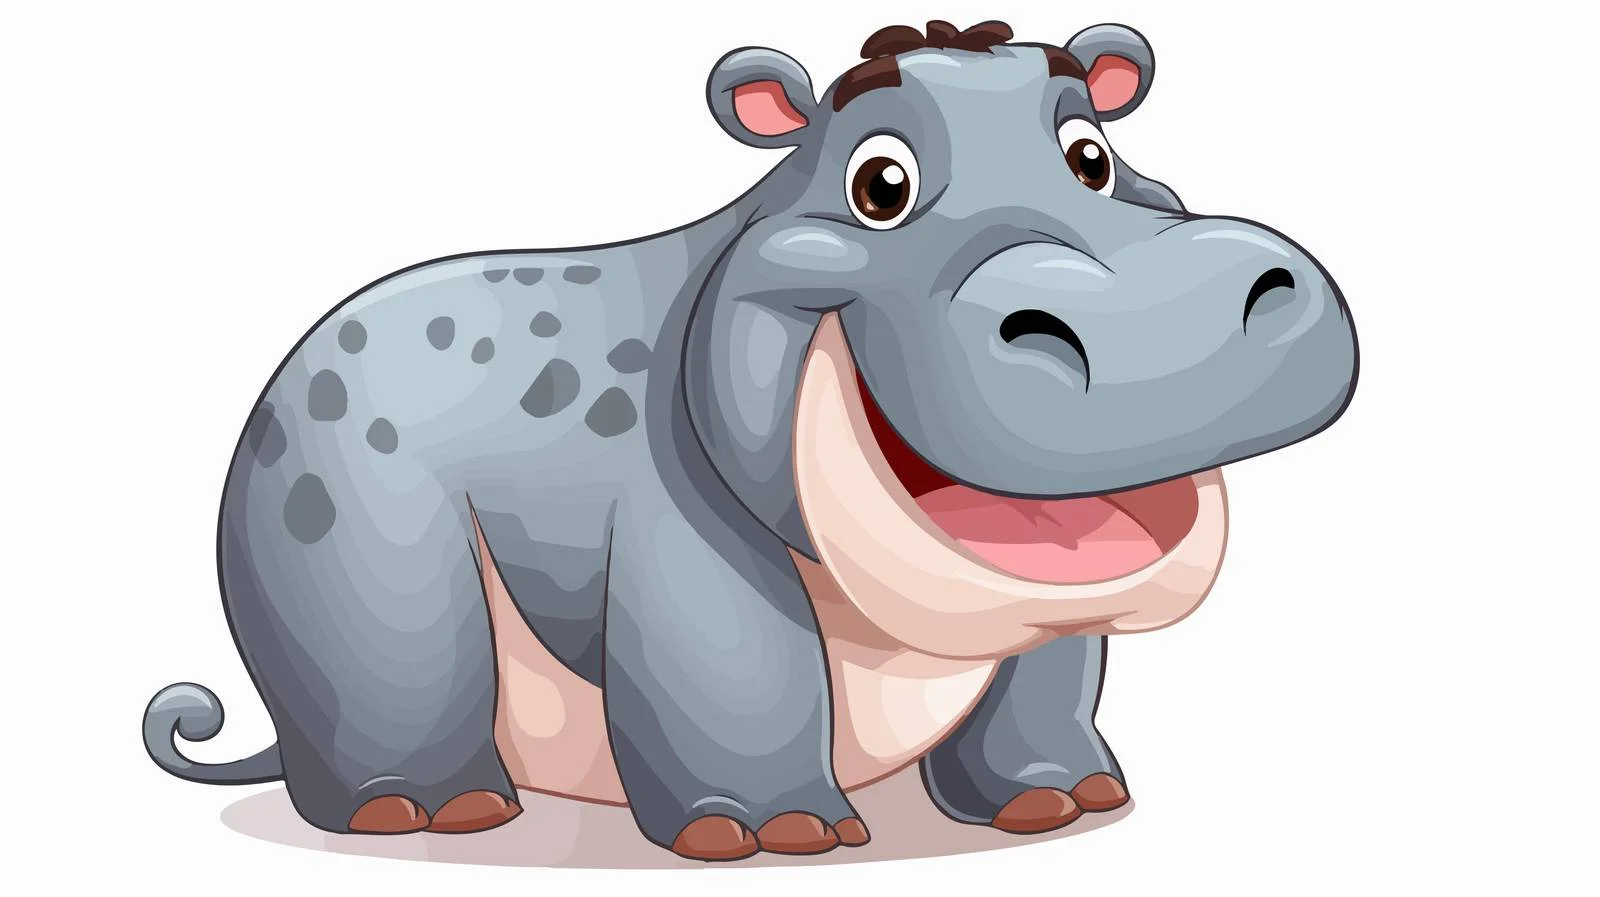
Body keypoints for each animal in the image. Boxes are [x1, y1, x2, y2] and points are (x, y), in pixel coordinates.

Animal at [143, 19, 1358, 862]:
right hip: (340, 525)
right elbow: (739, 667)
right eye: (879, 182)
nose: (1167, 306)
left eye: (1091, 154)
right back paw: (430, 813)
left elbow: (1048, 675)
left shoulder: (1049, 601)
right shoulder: (680, 534)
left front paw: (1062, 803)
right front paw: (772, 839)